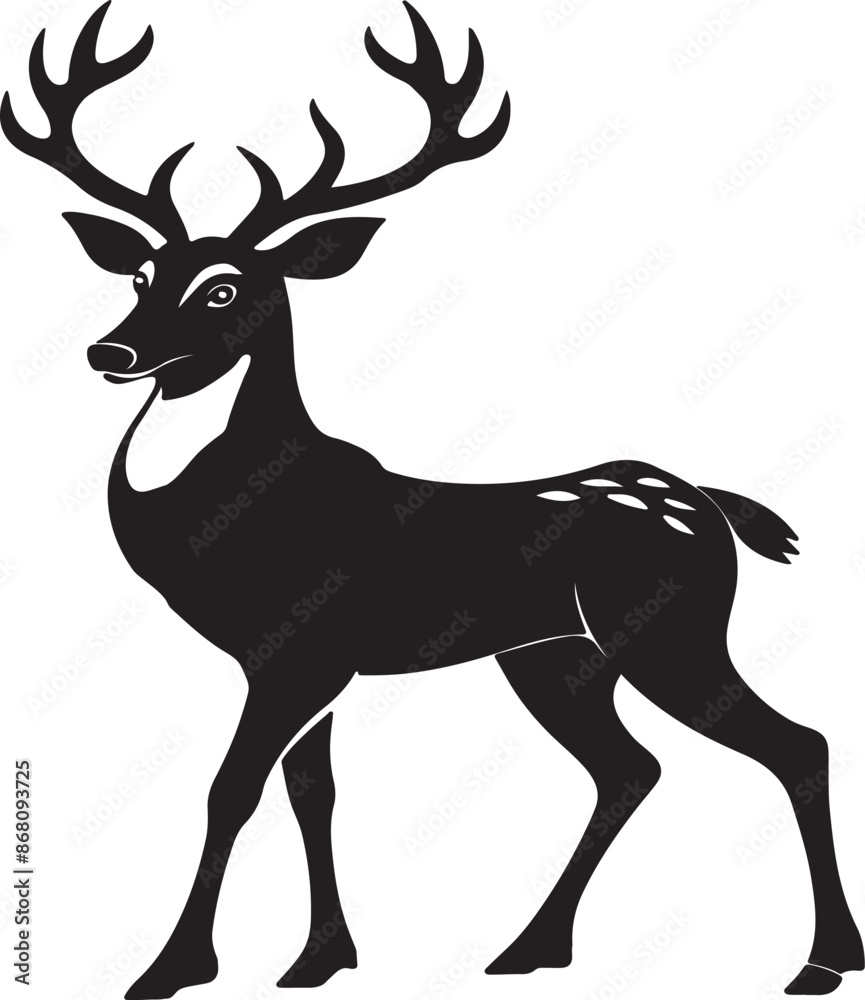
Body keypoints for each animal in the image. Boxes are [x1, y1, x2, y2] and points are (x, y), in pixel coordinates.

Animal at [3, 2, 862, 997]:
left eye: (223, 287)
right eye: (140, 276)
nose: (110, 351)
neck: (234, 516)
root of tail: (711, 505)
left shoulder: (300, 651)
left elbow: (232, 789)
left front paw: (175, 966)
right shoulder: (306, 663)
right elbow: (312, 792)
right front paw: (320, 958)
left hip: (669, 631)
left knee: (795, 743)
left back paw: (821, 961)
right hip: (555, 657)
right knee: (629, 768)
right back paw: (531, 947)